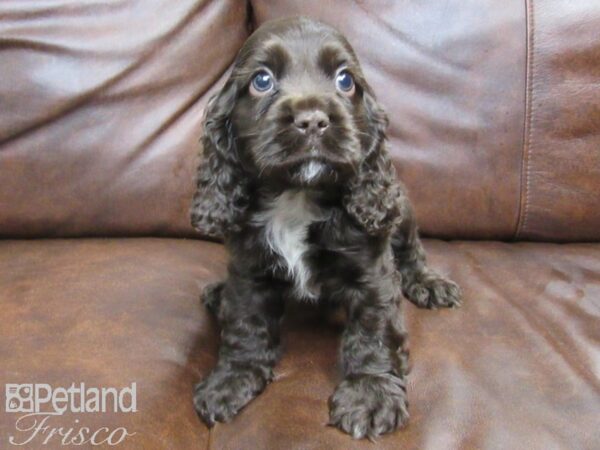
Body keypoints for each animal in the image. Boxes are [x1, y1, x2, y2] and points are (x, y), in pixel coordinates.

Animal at [190, 17, 462, 440]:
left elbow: (374, 329)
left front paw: (370, 395)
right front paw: (231, 380)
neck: (297, 195)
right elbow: (246, 323)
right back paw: (219, 294)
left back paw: (429, 283)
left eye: (345, 80)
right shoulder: (249, 268)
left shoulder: (373, 270)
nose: (313, 120)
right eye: (261, 80)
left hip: (401, 211)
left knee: (413, 252)